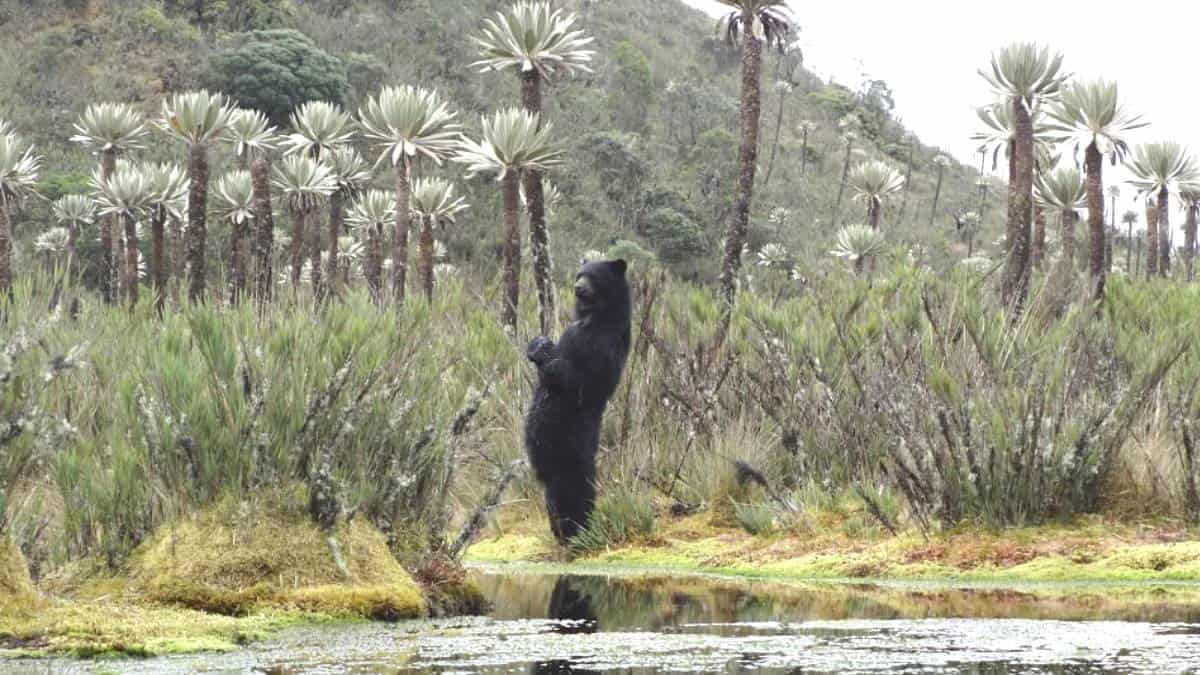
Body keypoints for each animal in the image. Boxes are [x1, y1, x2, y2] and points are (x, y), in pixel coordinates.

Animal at [524, 259, 632, 544]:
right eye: (579, 274)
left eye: (592, 276)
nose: (577, 287)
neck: (593, 318)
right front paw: (537, 343)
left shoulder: (604, 346)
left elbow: (584, 381)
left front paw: (547, 354)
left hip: (568, 446)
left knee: (572, 490)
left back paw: (577, 531)